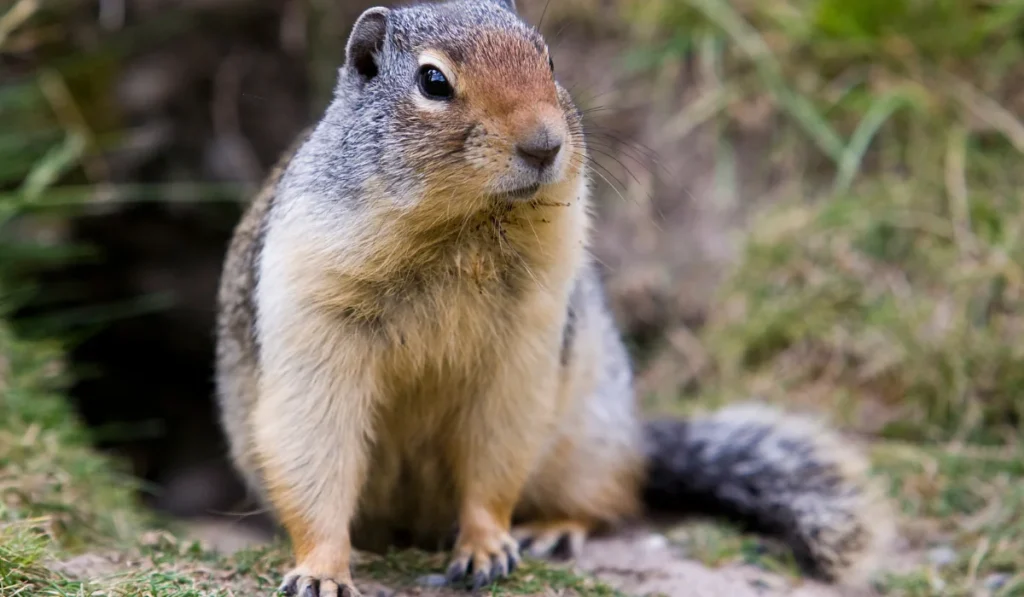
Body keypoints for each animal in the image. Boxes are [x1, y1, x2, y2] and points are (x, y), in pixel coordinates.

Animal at [214, 1, 894, 595]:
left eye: (547, 59)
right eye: (432, 80)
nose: (544, 144)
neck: (463, 230)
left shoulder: (526, 339)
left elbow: (497, 447)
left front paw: (487, 549)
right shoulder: (314, 302)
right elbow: (315, 445)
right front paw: (321, 571)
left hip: (588, 434)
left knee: (613, 496)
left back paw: (552, 529)